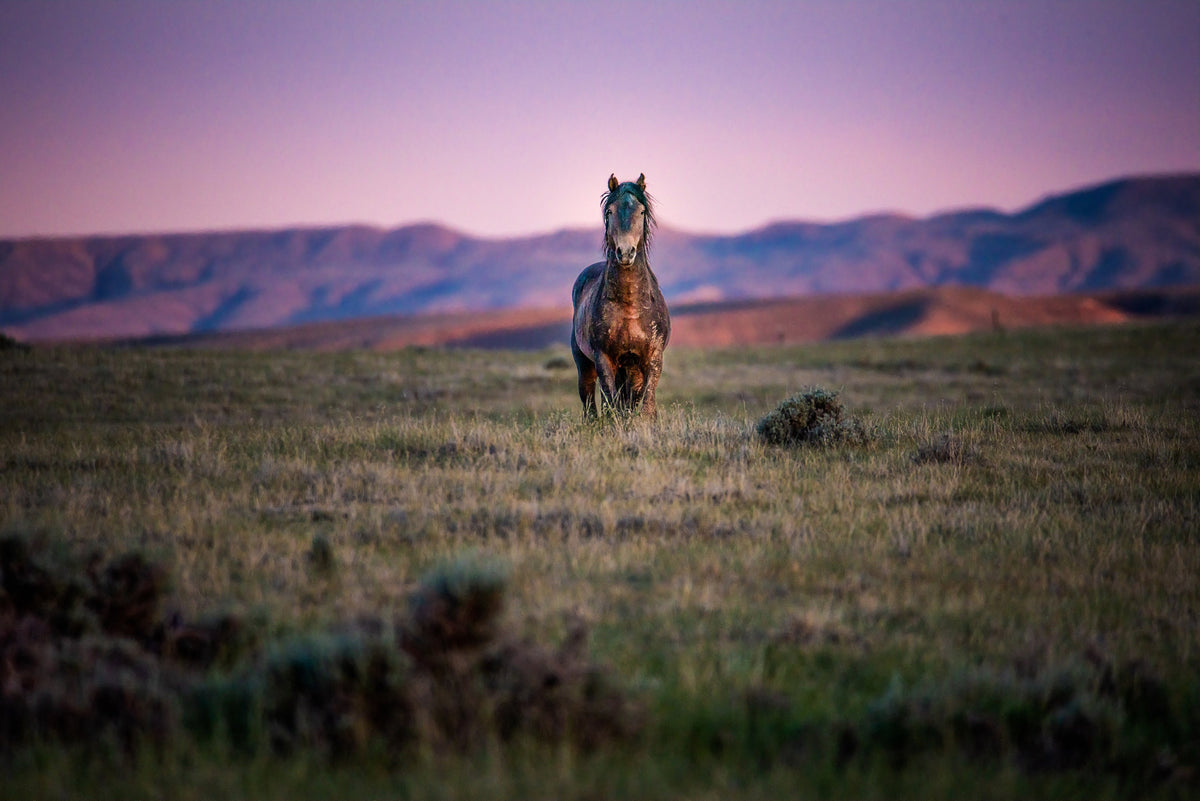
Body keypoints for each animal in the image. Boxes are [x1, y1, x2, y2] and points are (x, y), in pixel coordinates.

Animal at [571, 173, 671, 419]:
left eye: (641, 212)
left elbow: (647, 405)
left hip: (631, 369)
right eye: (610, 211)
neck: (629, 306)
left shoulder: (652, 358)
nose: (625, 253)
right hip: (586, 365)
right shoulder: (603, 358)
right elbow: (612, 404)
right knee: (591, 402)